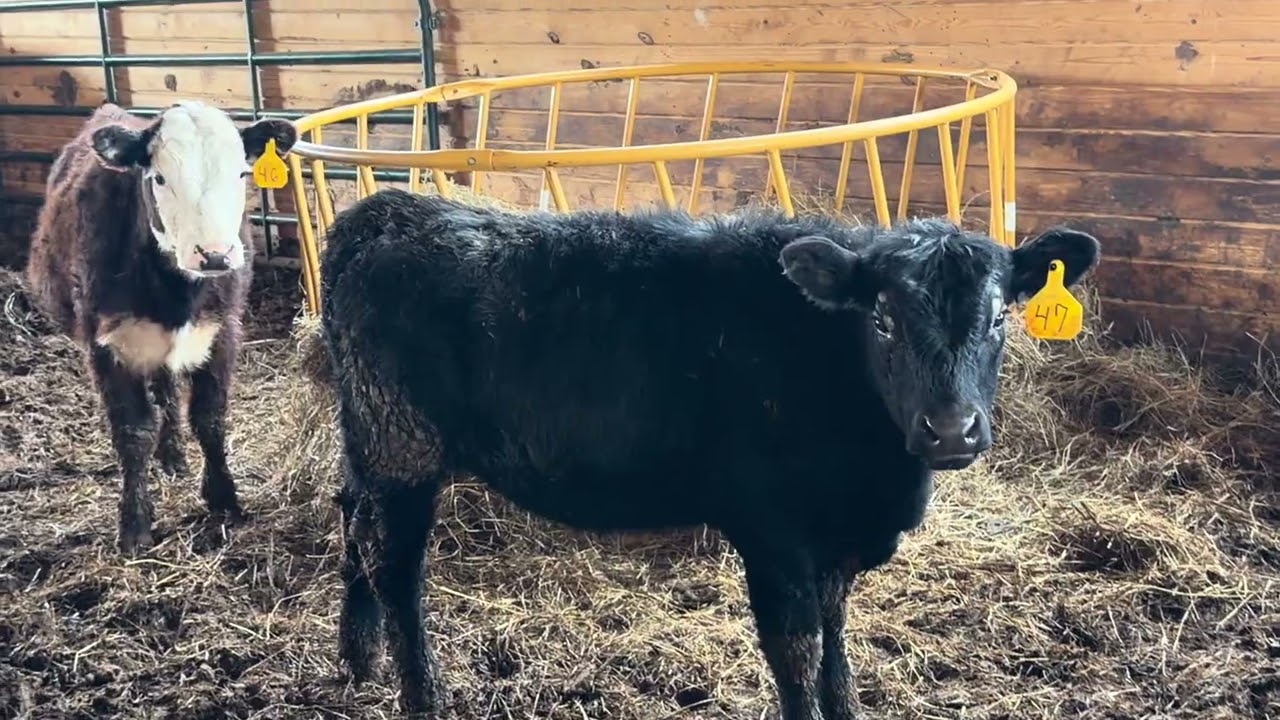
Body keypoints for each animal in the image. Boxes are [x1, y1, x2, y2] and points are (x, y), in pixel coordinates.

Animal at [24, 101, 298, 556]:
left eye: (242, 174)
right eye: (160, 178)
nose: (215, 255)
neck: (177, 295)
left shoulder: (224, 332)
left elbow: (209, 417)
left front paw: (225, 499)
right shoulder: (105, 346)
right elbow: (134, 431)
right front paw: (135, 525)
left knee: (167, 391)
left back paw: (174, 457)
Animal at [316, 188, 1101, 719]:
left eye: (999, 318)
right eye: (881, 318)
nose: (951, 429)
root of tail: (388, 211)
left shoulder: (833, 544)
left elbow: (837, 643)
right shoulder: (773, 530)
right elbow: (797, 650)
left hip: (367, 441)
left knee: (353, 520)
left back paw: (358, 659)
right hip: (403, 448)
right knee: (397, 568)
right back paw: (423, 694)